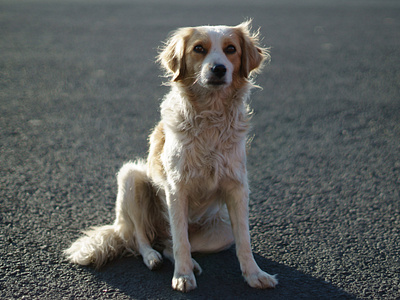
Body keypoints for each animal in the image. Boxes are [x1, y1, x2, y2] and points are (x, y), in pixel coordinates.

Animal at [65, 19, 278, 292]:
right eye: (199, 48)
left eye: (231, 49)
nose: (218, 69)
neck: (210, 117)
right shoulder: (177, 188)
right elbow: (180, 242)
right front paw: (183, 276)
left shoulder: (237, 187)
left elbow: (244, 241)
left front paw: (254, 275)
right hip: (130, 177)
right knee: (141, 238)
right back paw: (152, 258)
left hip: (221, 232)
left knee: (167, 243)